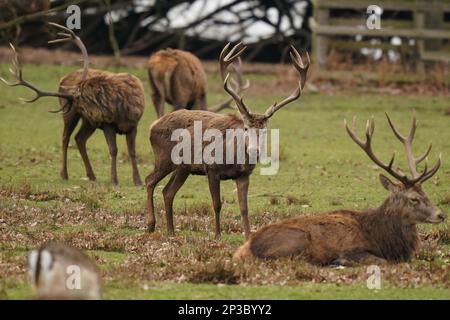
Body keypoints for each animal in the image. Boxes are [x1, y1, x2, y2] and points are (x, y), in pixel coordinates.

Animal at [0, 23, 145, 186]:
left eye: (79, 100)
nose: (70, 100)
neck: (121, 110)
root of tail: (63, 78)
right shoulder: (108, 123)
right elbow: (113, 149)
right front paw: (114, 180)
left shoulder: (133, 124)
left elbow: (132, 151)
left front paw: (138, 181)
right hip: (74, 116)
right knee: (65, 137)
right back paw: (64, 174)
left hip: (89, 121)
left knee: (79, 138)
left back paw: (91, 175)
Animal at [146, 42, 312, 239]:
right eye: (246, 128)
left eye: (264, 130)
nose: (254, 151)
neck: (233, 157)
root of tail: (153, 126)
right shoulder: (211, 169)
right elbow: (217, 204)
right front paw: (217, 235)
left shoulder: (243, 175)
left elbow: (244, 208)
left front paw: (248, 236)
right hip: (164, 157)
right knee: (150, 181)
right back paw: (150, 225)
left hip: (183, 168)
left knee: (167, 191)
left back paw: (171, 231)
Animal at [234, 112, 444, 264]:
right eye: (413, 199)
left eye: (426, 194)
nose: (441, 214)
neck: (381, 239)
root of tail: (243, 250)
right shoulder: (352, 249)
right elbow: (380, 261)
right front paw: (339, 261)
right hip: (297, 240)